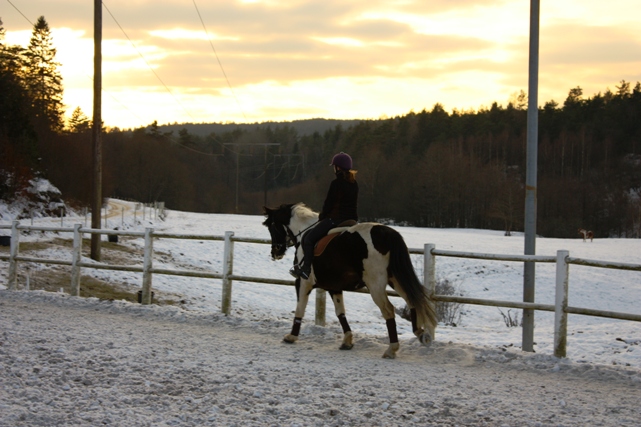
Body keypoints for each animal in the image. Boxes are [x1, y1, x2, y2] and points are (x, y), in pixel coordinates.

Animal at [262, 203, 437, 359]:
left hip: (375, 284)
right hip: (395, 279)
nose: (275, 252)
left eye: (271, 227)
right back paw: (421, 334)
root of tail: (386, 232)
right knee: (412, 299)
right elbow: (340, 312)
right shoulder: (334, 286)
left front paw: (291, 336)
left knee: (388, 310)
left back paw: (391, 349)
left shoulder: (303, 282)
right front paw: (347, 341)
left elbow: (300, 308)